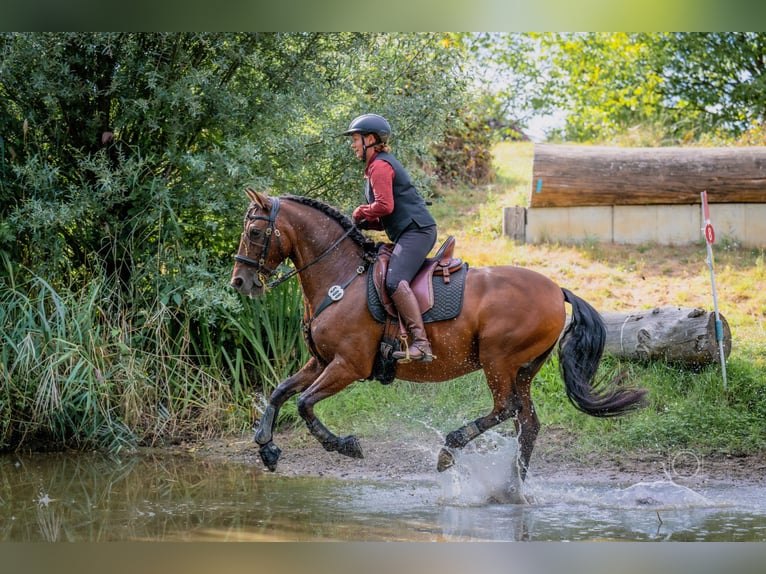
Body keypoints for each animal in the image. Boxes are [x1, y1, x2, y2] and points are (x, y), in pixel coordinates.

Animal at [230, 188, 647, 481]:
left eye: (254, 231)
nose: (240, 282)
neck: (342, 278)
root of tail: (556, 289)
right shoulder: (321, 361)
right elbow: (281, 392)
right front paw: (266, 448)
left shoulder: (348, 364)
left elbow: (304, 404)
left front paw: (344, 445)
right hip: (524, 369)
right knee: (526, 423)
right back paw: (513, 485)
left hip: (498, 359)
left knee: (505, 408)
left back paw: (450, 448)